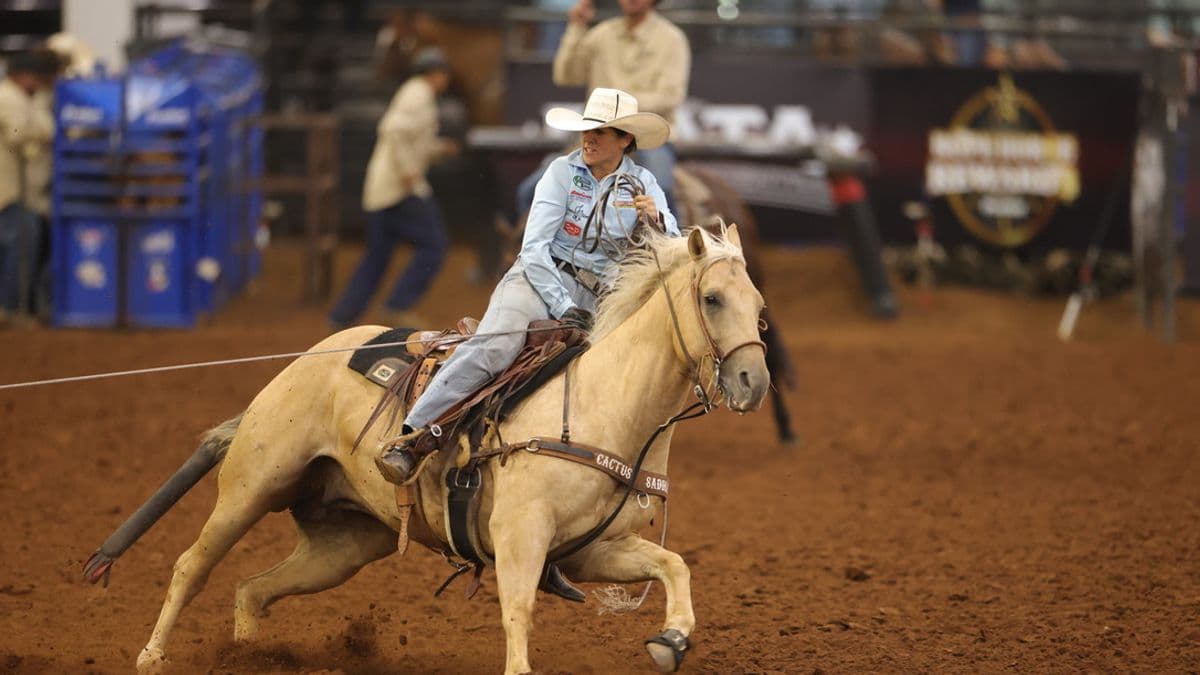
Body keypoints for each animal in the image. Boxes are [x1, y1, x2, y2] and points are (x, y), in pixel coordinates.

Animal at [111, 227, 769, 675]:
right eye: (712, 298)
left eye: (760, 306)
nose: (753, 382)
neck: (602, 405)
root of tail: (303, 362)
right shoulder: (520, 536)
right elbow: (518, 612)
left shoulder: (591, 550)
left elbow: (674, 565)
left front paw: (671, 641)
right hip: (252, 487)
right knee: (192, 566)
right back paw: (151, 656)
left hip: (346, 541)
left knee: (254, 588)